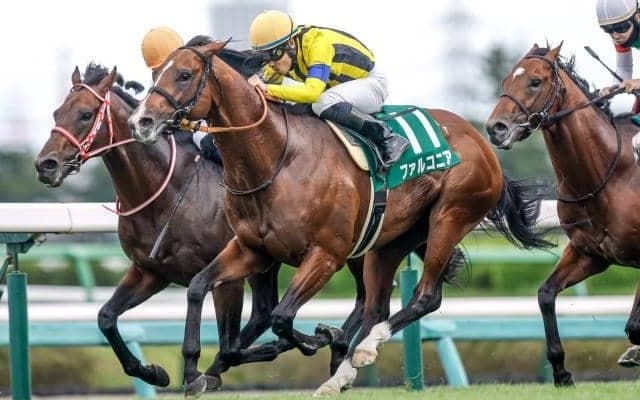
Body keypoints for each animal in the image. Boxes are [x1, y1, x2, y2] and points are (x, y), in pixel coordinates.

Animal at [34, 62, 376, 389]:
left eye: (85, 114)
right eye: (56, 113)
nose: (45, 165)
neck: (168, 191)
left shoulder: (228, 277)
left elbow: (229, 343)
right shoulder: (151, 271)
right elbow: (105, 317)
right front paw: (154, 372)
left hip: (348, 248)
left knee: (356, 298)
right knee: (269, 311)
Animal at [128, 40, 552, 396]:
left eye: (184, 74)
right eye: (156, 74)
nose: (142, 121)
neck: (277, 158)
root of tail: (482, 139)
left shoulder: (325, 254)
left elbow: (281, 317)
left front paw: (318, 338)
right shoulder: (252, 249)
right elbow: (198, 286)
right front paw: (193, 372)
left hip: (448, 218)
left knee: (425, 296)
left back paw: (360, 350)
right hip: (387, 241)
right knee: (376, 304)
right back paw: (343, 369)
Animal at [485, 43, 640, 386]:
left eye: (535, 82)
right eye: (505, 80)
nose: (495, 129)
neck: (605, 176)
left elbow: (635, 325)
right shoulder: (589, 254)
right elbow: (545, 294)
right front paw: (560, 371)